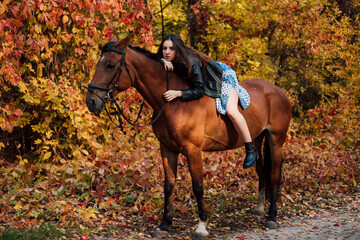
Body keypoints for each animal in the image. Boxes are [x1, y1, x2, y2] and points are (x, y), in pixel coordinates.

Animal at [86, 34, 292, 238]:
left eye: (110, 65)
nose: (91, 101)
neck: (175, 103)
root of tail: (279, 91)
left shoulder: (193, 150)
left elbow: (198, 187)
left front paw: (201, 226)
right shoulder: (167, 149)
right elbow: (168, 186)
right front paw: (164, 224)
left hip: (276, 140)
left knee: (274, 175)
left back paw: (272, 217)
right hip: (258, 138)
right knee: (261, 169)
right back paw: (259, 209)